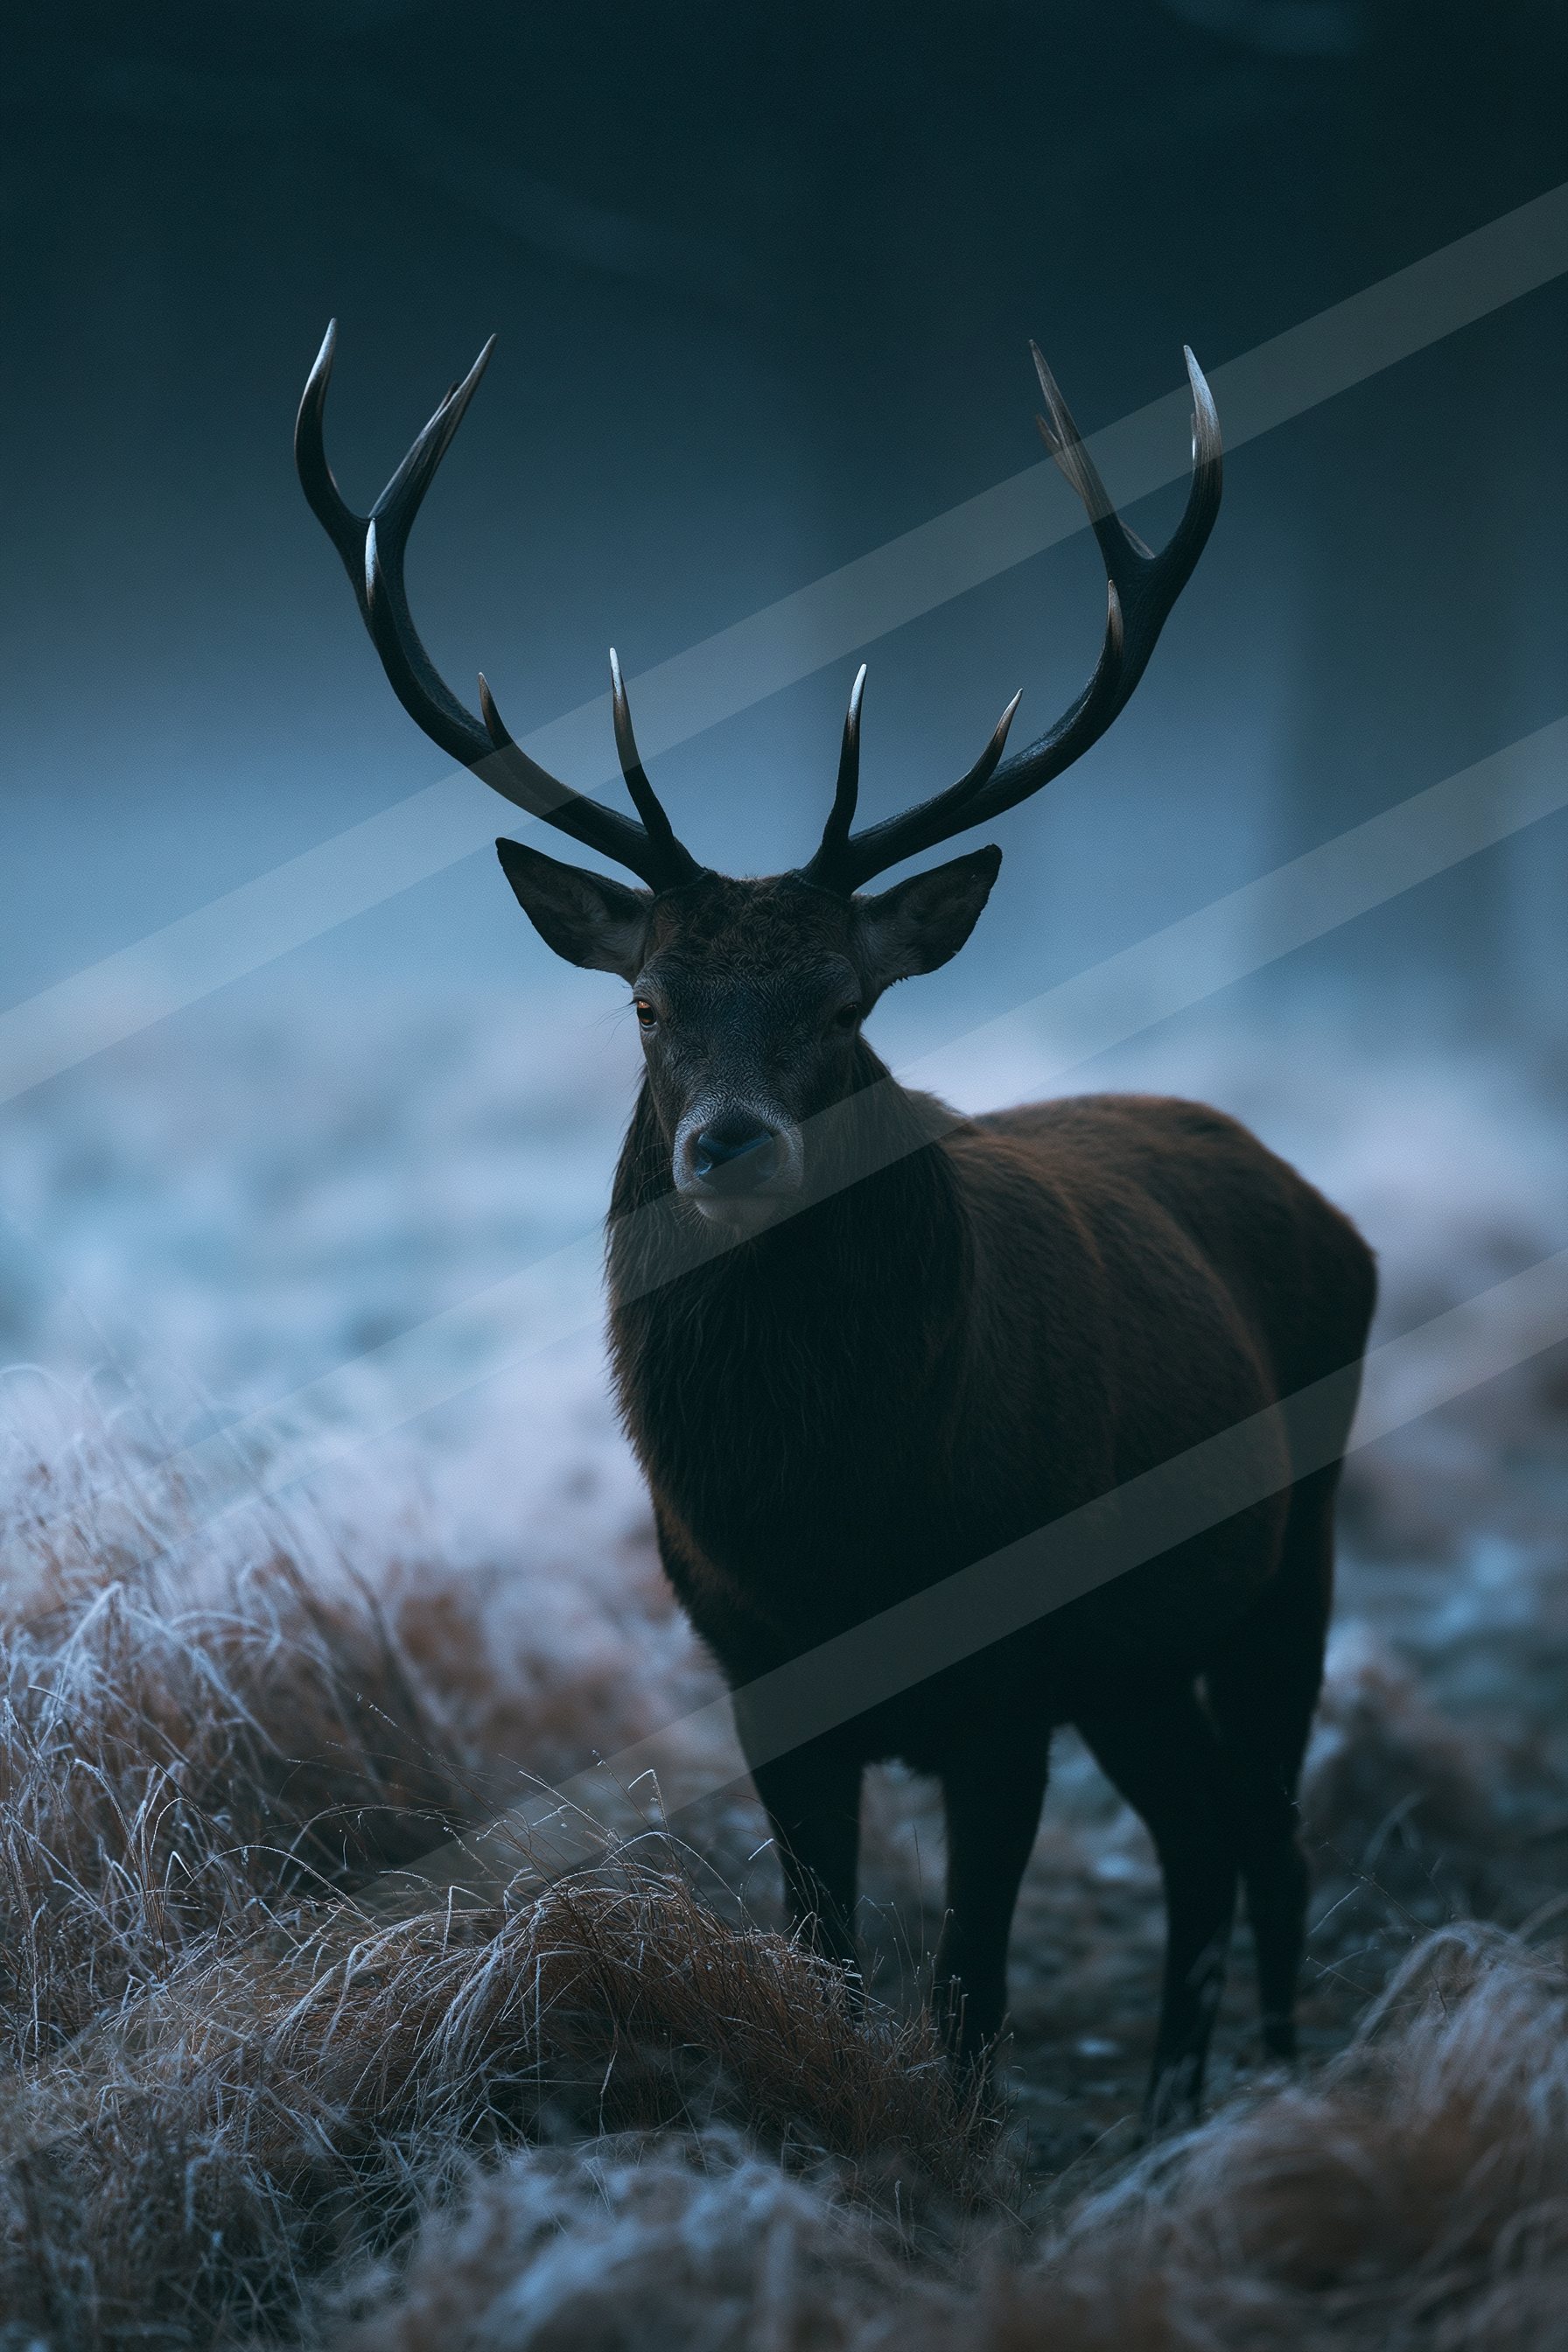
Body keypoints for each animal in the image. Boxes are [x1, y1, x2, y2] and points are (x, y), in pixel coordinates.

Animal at [296, 322, 1377, 2124]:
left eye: (843, 1001)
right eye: (650, 1000)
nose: (729, 1143)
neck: (844, 1521)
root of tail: (1320, 1204)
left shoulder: (1011, 1672)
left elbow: (975, 1985)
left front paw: (970, 2150)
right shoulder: (759, 1671)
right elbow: (830, 1951)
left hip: (1289, 1547)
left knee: (1269, 1837)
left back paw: (1257, 2100)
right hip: (1141, 1653)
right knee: (1207, 1834)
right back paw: (1180, 2106)